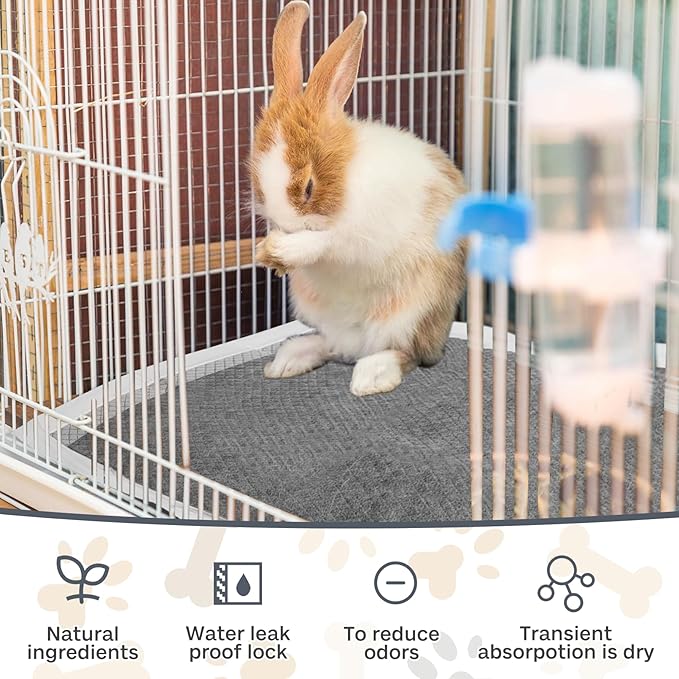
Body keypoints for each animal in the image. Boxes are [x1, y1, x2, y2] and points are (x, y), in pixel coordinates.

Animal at [249, 0, 468, 397]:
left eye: (308, 187)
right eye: (257, 183)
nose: (283, 225)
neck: (348, 177)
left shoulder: (364, 232)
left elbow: (330, 242)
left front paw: (287, 249)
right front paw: (268, 251)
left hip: (413, 313)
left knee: (407, 353)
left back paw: (370, 377)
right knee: (333, 346)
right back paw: (288, 361)